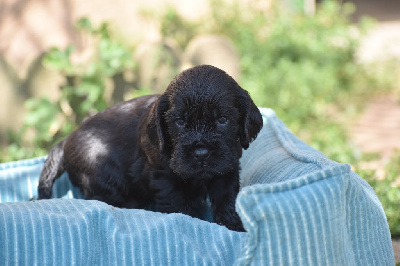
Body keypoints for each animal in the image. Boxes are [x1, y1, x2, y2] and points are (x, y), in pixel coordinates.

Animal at [36, 64, 262, 231]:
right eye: (180, 122)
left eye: (223, 120)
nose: (201, 153)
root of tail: (65, 141)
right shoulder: (165, 178)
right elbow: (179, 207)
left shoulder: (226, 171)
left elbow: (228, 199)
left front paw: (234, 225)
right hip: (105, 177)